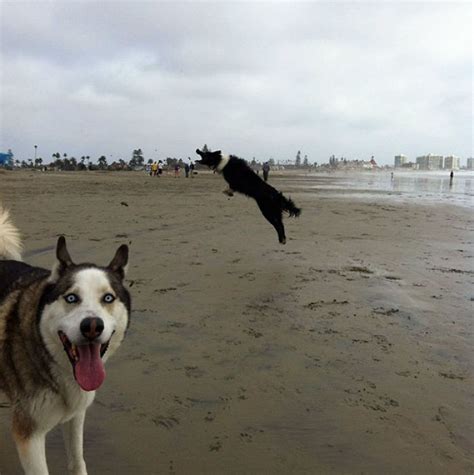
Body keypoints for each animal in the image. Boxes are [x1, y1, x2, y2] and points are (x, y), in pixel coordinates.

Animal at [0, 207, 130, 475]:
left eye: (108, 298)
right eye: (71, 298)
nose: (92, 326)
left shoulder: (75, 414)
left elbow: (77, 460)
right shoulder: (28, 436)